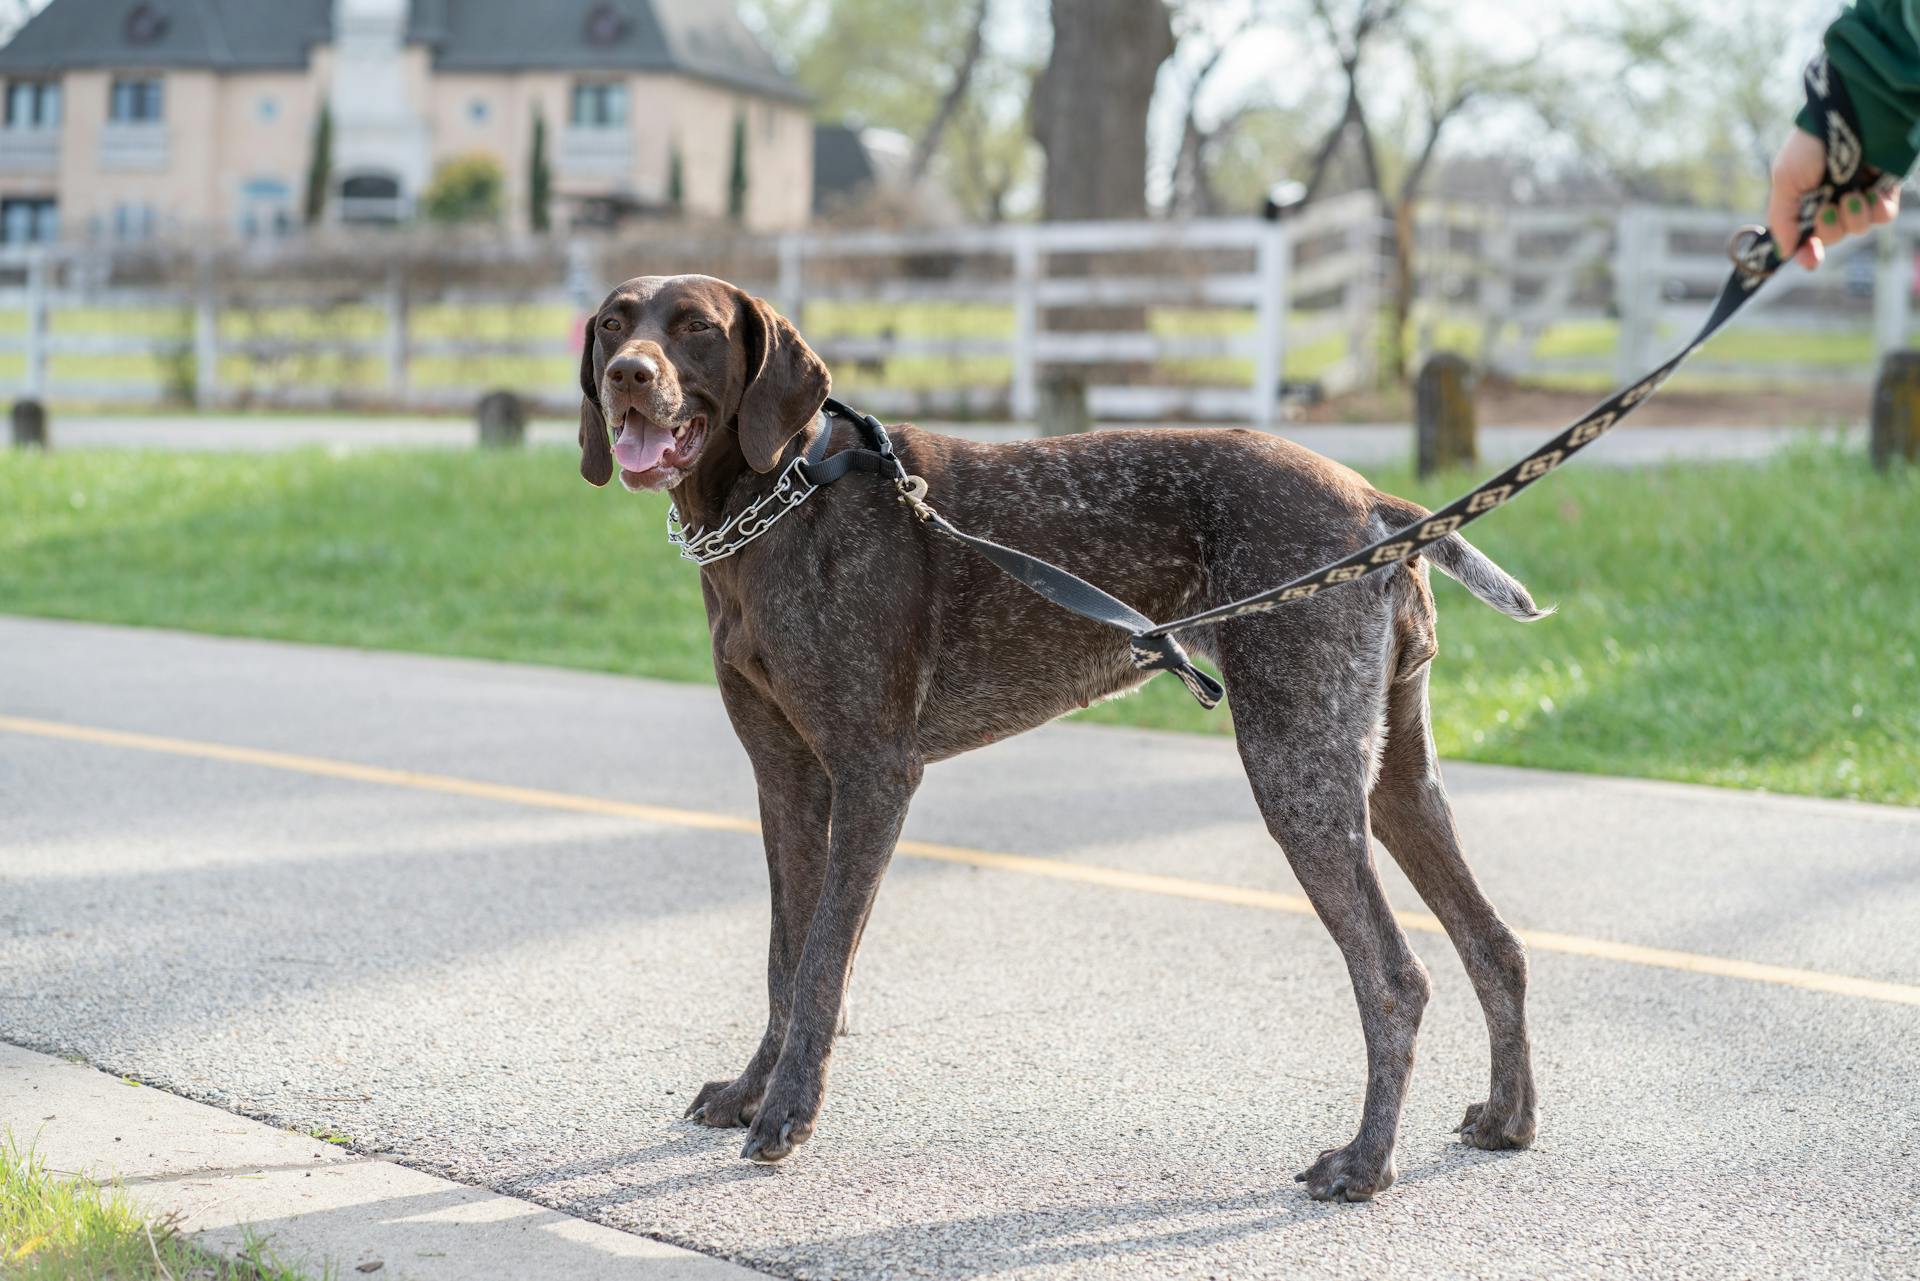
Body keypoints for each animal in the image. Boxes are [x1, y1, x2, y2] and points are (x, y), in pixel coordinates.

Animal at [572, 272, 1543, 1206]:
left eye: (695, 327)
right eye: (615, 323)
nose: (628, 376)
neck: (778, 499)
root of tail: (1376, 503)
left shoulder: (874, 773)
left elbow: (818, 966)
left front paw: (786, 1115)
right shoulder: (786, 780)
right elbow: (785, 958)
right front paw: (752, 1091)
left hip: (1296, 770)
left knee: (1395, 977)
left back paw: (1365, 1163)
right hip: (1393, 779)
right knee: (1494, 945)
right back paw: (1507, 1117)